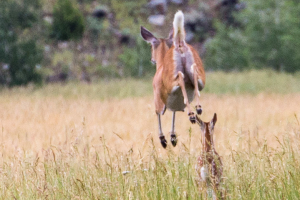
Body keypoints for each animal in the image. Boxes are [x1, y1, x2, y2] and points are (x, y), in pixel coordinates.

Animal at [141, 10, 204, 148]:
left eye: (151, 46)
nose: (152, 59)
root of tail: (179, 44)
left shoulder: (158, 97)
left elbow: (157, 112)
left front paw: (163, 140)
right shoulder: (174, 100)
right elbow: (174, 112)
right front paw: (173, 137)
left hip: (171, 81)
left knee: (180, 78)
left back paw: (192, 114)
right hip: (200, 76)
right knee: (194, 76)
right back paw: (197, 109)